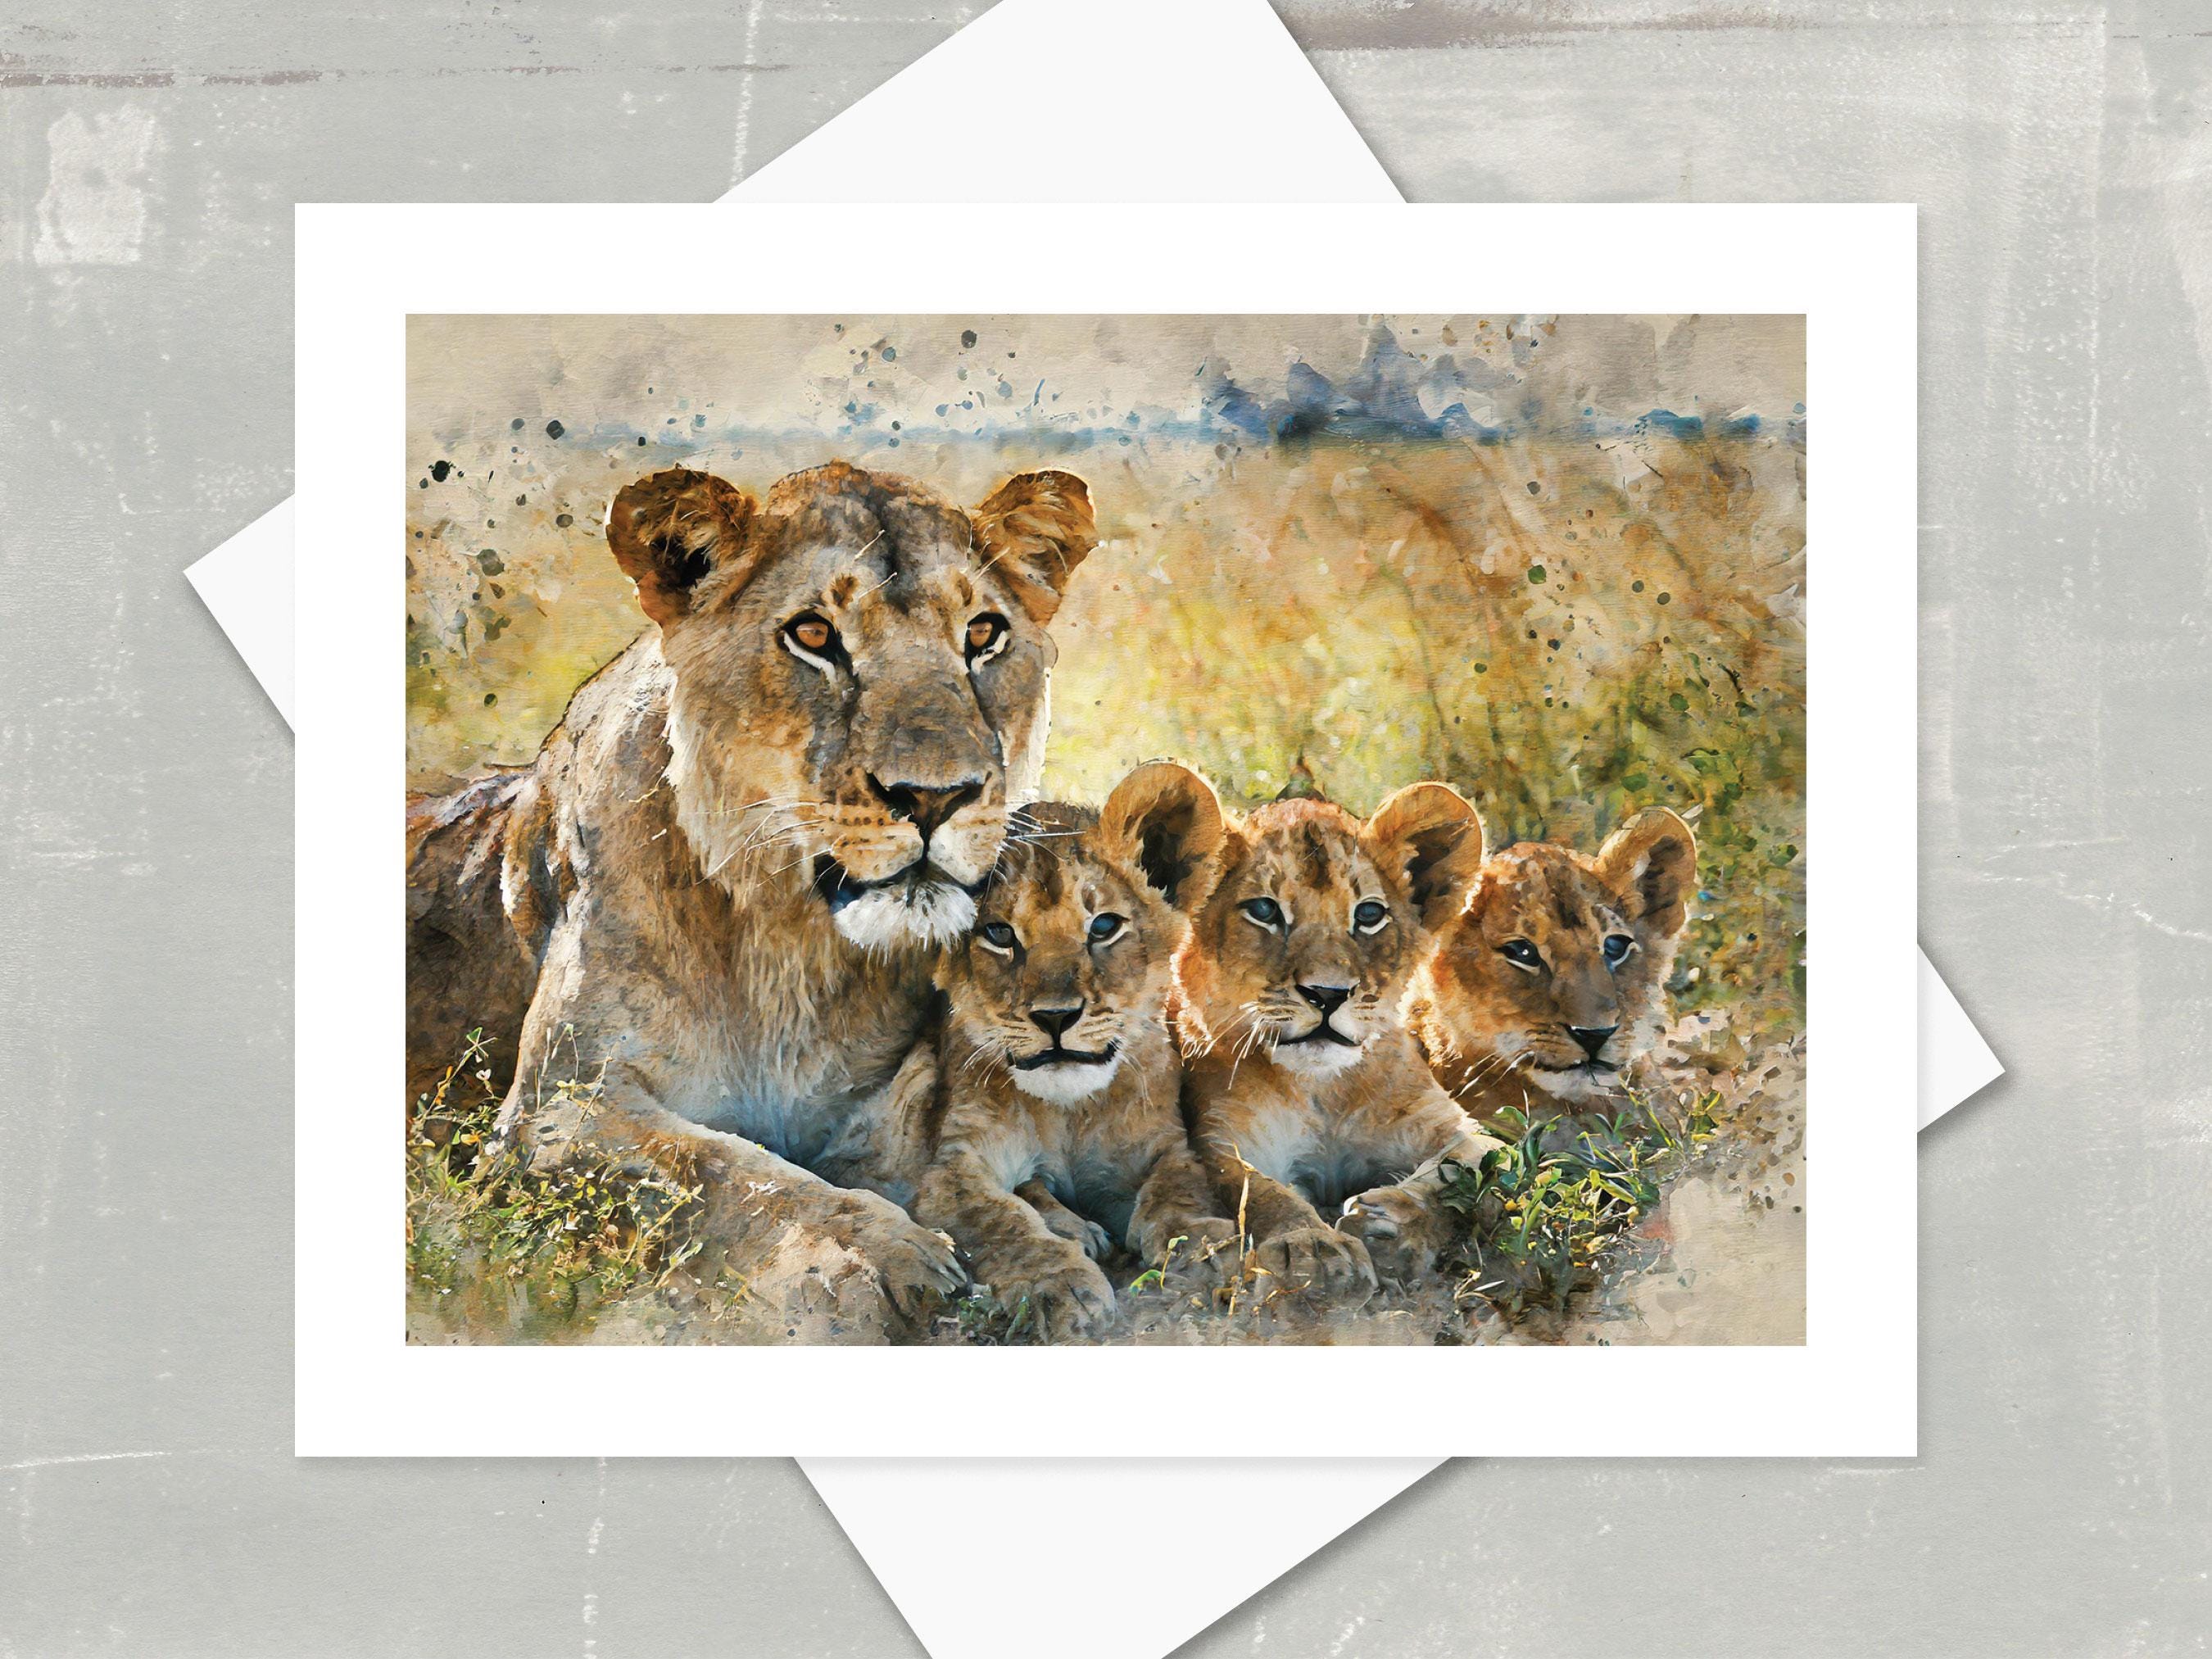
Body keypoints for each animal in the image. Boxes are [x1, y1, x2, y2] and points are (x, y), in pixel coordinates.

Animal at [404, 460, 1098, 1339]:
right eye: (814, 636)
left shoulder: (896, 1107)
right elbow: (725, 1170)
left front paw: (1051, 1266)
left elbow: (967, 1189)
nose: (936, 797)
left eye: (982, 634)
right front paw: (889, 1254)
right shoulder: (558, 1111)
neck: (792, 944)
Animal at [909, 762, 1239, 1341]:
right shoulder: (950, 1169)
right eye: (999, 934)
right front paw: (1060, 1285)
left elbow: (1176, 1193)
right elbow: (1002, 1220)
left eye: (1103, 926)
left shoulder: (1165, 1146)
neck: (1069, 1112)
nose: (1056, 1017)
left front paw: (1205, 1244)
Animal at [1173, 785, 1504, 1298]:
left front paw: (1395, 1230)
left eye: (1369, 914)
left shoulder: (1456, 1127)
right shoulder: (1225, 1140)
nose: (1327, 994)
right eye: (1264, 911)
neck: (1324, 1090)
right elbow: (1261, 1193)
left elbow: (1468, 1170)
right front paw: (1310, 1250)